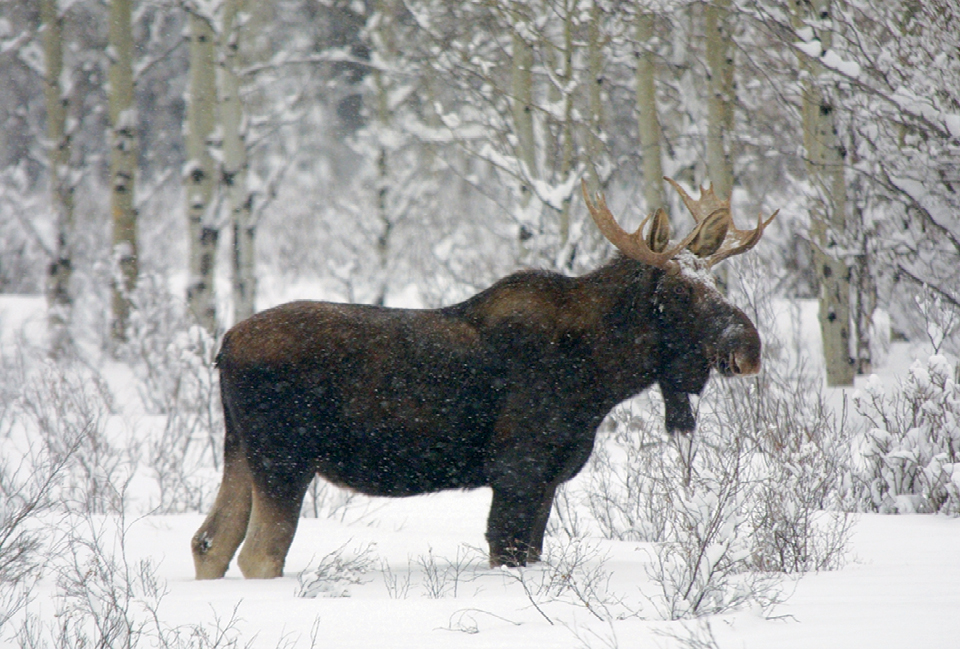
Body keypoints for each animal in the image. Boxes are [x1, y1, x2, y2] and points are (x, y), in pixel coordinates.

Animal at [191, 177, 776, 576]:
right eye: (678, 292)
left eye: (715, 282)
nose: (748, 346)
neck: (601, 378)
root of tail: (223, 348)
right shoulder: (518, 471)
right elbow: (506, 548)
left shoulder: (548, 479)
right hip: (284, 458)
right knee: (259, 554)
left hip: (239, 448)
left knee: (209, 542)